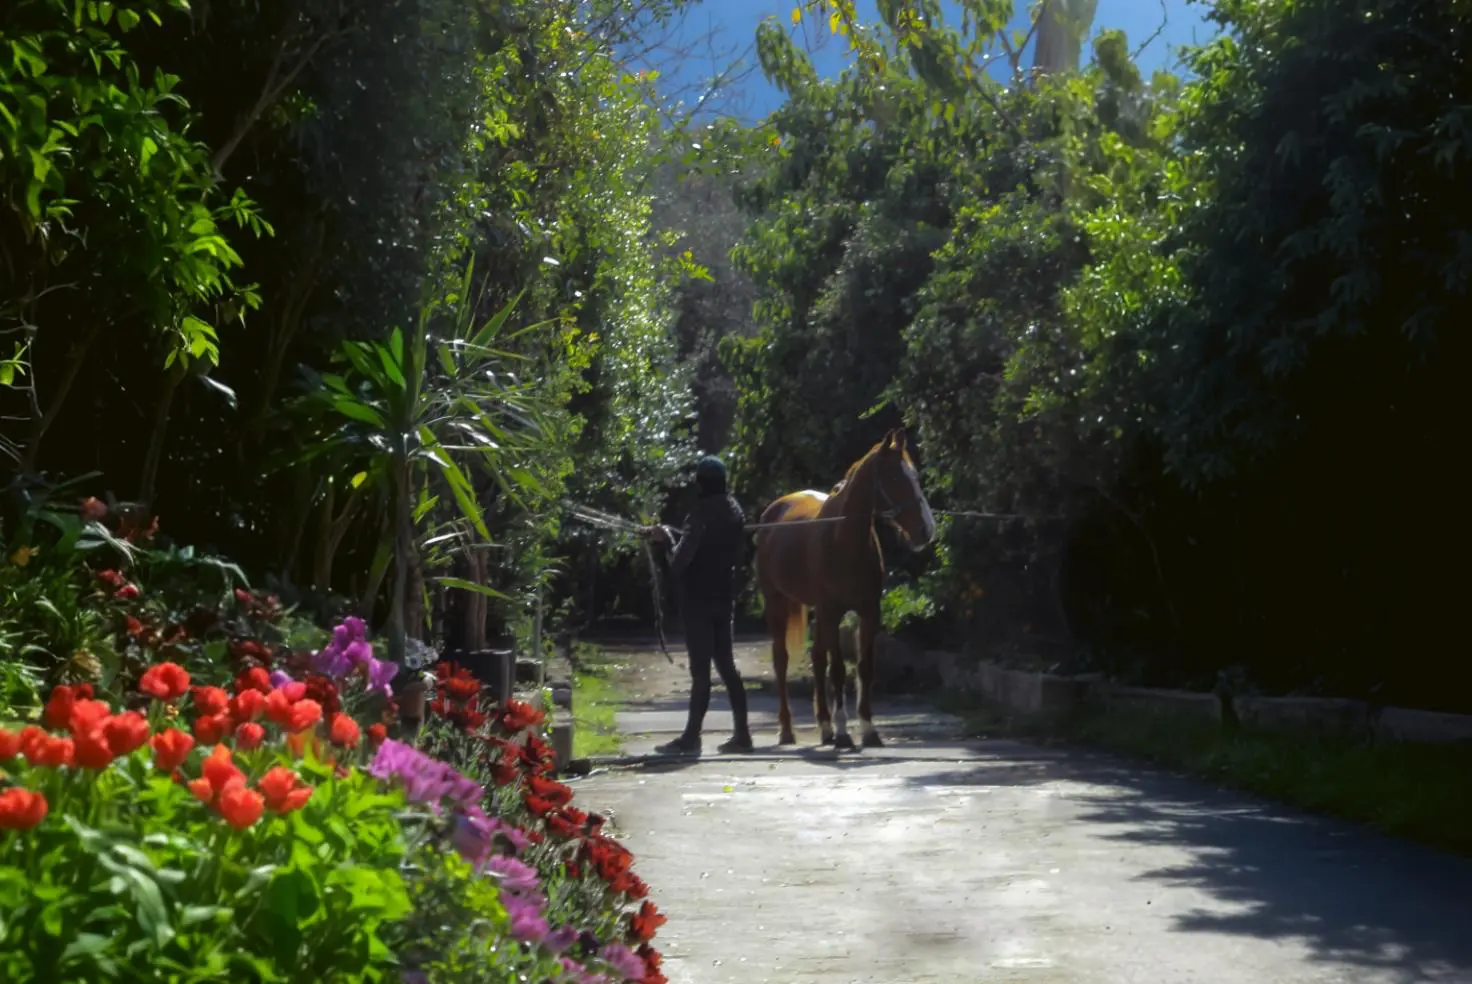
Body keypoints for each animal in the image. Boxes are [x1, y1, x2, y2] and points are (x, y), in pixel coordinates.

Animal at [754, 427, 936, 750]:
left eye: (914, 474)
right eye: (894, 478)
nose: (926, 530)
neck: (844, 540)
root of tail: (774, 510)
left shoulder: (868, 612)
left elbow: (864, 667)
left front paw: (868, 730)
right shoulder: (832, 611)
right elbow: (838, 670)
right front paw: (843, 732)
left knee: (817, 658)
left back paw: (824, 727)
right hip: (777, 605)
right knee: (782, 661)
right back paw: (788, 730)